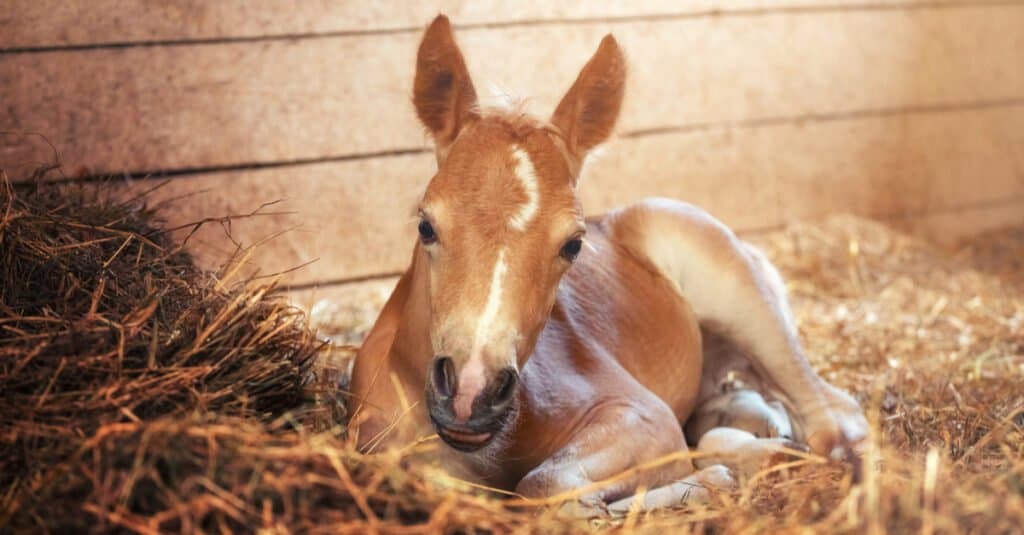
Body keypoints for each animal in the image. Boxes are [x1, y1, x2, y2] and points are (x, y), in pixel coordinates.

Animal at [348, 15, 868, 508]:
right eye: (426, 225)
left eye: (573, 245)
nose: (471, 393)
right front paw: (714, 476)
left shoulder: (643, 414)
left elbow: (544, 484)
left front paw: (711, 480)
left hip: (745, 303)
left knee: (834, 419)